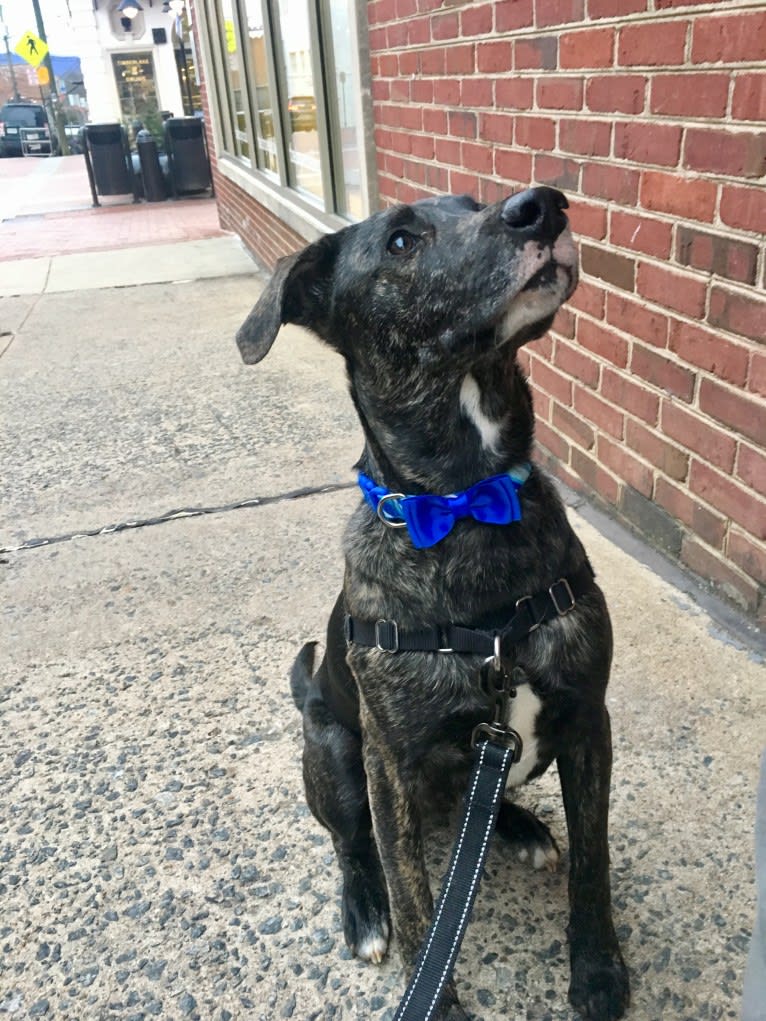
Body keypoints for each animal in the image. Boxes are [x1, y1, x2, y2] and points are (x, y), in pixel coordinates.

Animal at [238, 187, 629, 1016]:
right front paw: (434, 991)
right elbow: (418, 902)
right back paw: (363, 910)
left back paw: (517, 825)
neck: (469, 503)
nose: (542, 204)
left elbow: (595, 861)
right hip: (331, 748)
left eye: (475, 202)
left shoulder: (588, 718)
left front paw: (598, 968)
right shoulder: (387, 764)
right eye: (400, 242)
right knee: (353, 845)